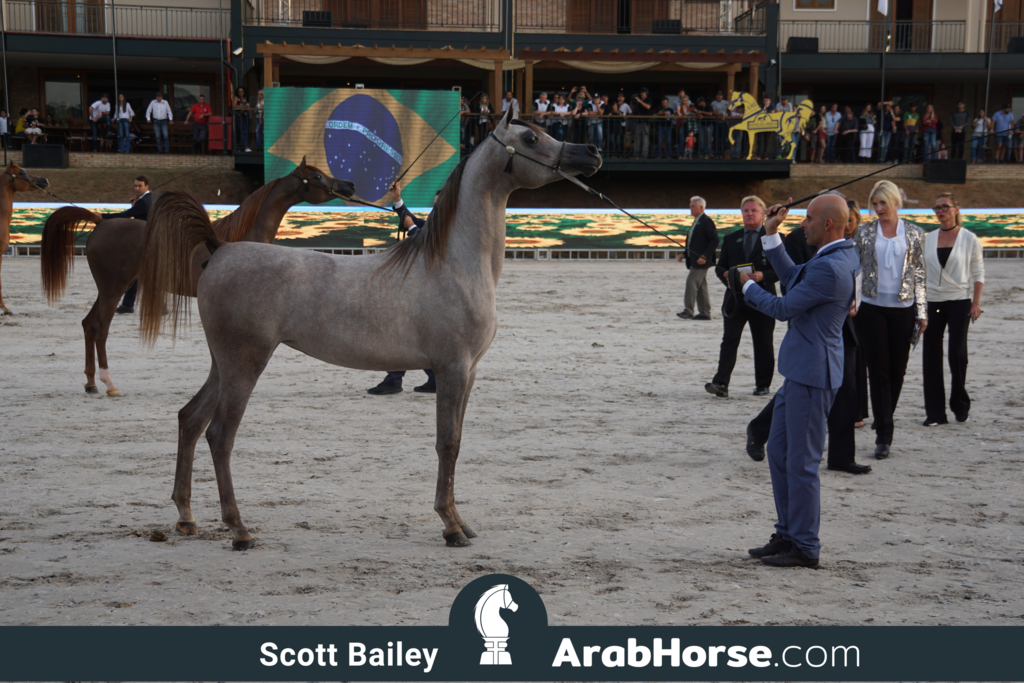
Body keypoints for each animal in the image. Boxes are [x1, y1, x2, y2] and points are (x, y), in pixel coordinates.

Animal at [39, 158, 354, 396]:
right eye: (317, 175)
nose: (349, 185)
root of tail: (101, 222)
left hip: (107, 289)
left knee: (88, 325)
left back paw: (91, 382)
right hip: (113, 288)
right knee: (100, 328)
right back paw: (109, 384)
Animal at [135, 105, 601, 551]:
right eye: (530, 138)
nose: (591, 153)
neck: (454, 263)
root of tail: (220, 249)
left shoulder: (468, 372)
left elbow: (456, 442)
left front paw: (461, 521)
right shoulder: (452, 368)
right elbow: (447, 443)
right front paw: (450, 526)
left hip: (224, 365)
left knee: (190, 419)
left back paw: (186, 517)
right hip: (244, 364)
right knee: (220, 435)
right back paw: (239, 531)